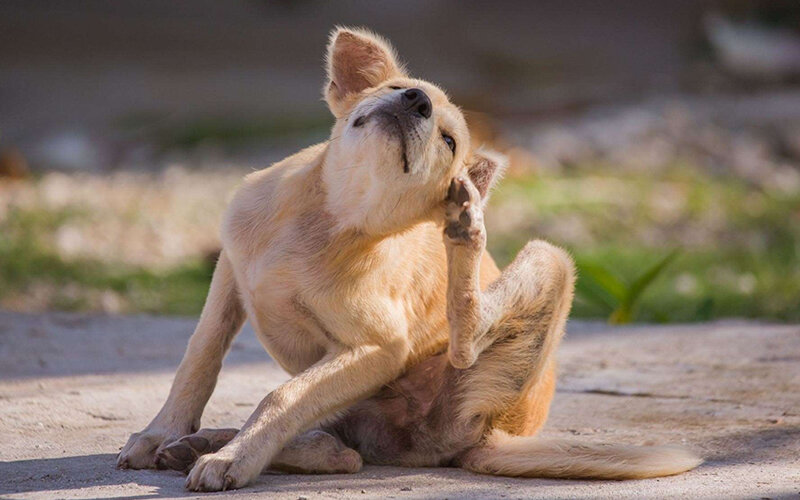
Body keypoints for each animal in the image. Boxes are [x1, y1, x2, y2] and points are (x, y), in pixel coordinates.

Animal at [115, 25, 696, 490]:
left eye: (448, 140)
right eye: (397, 89)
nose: (416, 101)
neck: (328, 219)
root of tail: (493, 437)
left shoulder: (377, 347)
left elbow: (282, 396)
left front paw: (232, 459)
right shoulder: (230, 274)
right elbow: (199, 358)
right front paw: (162, 432)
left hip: (542, 271)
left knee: (441, 362)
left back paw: (466, 231)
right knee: (341, 448)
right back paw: (208, 442)